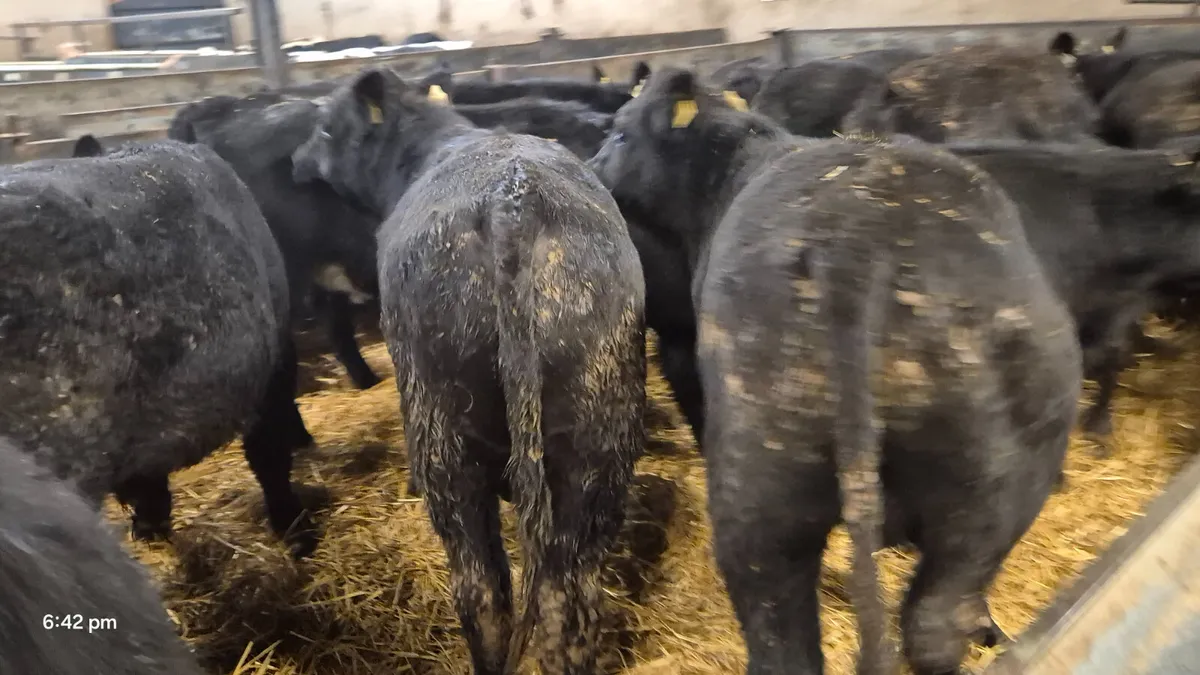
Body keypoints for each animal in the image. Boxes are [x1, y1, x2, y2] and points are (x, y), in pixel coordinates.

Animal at [291, 67, 647, 674]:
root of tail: (514, 197)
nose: (295, 158)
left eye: (327, 127)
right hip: (597, 440)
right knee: (569, 596)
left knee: (482, 592)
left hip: (444, 439)